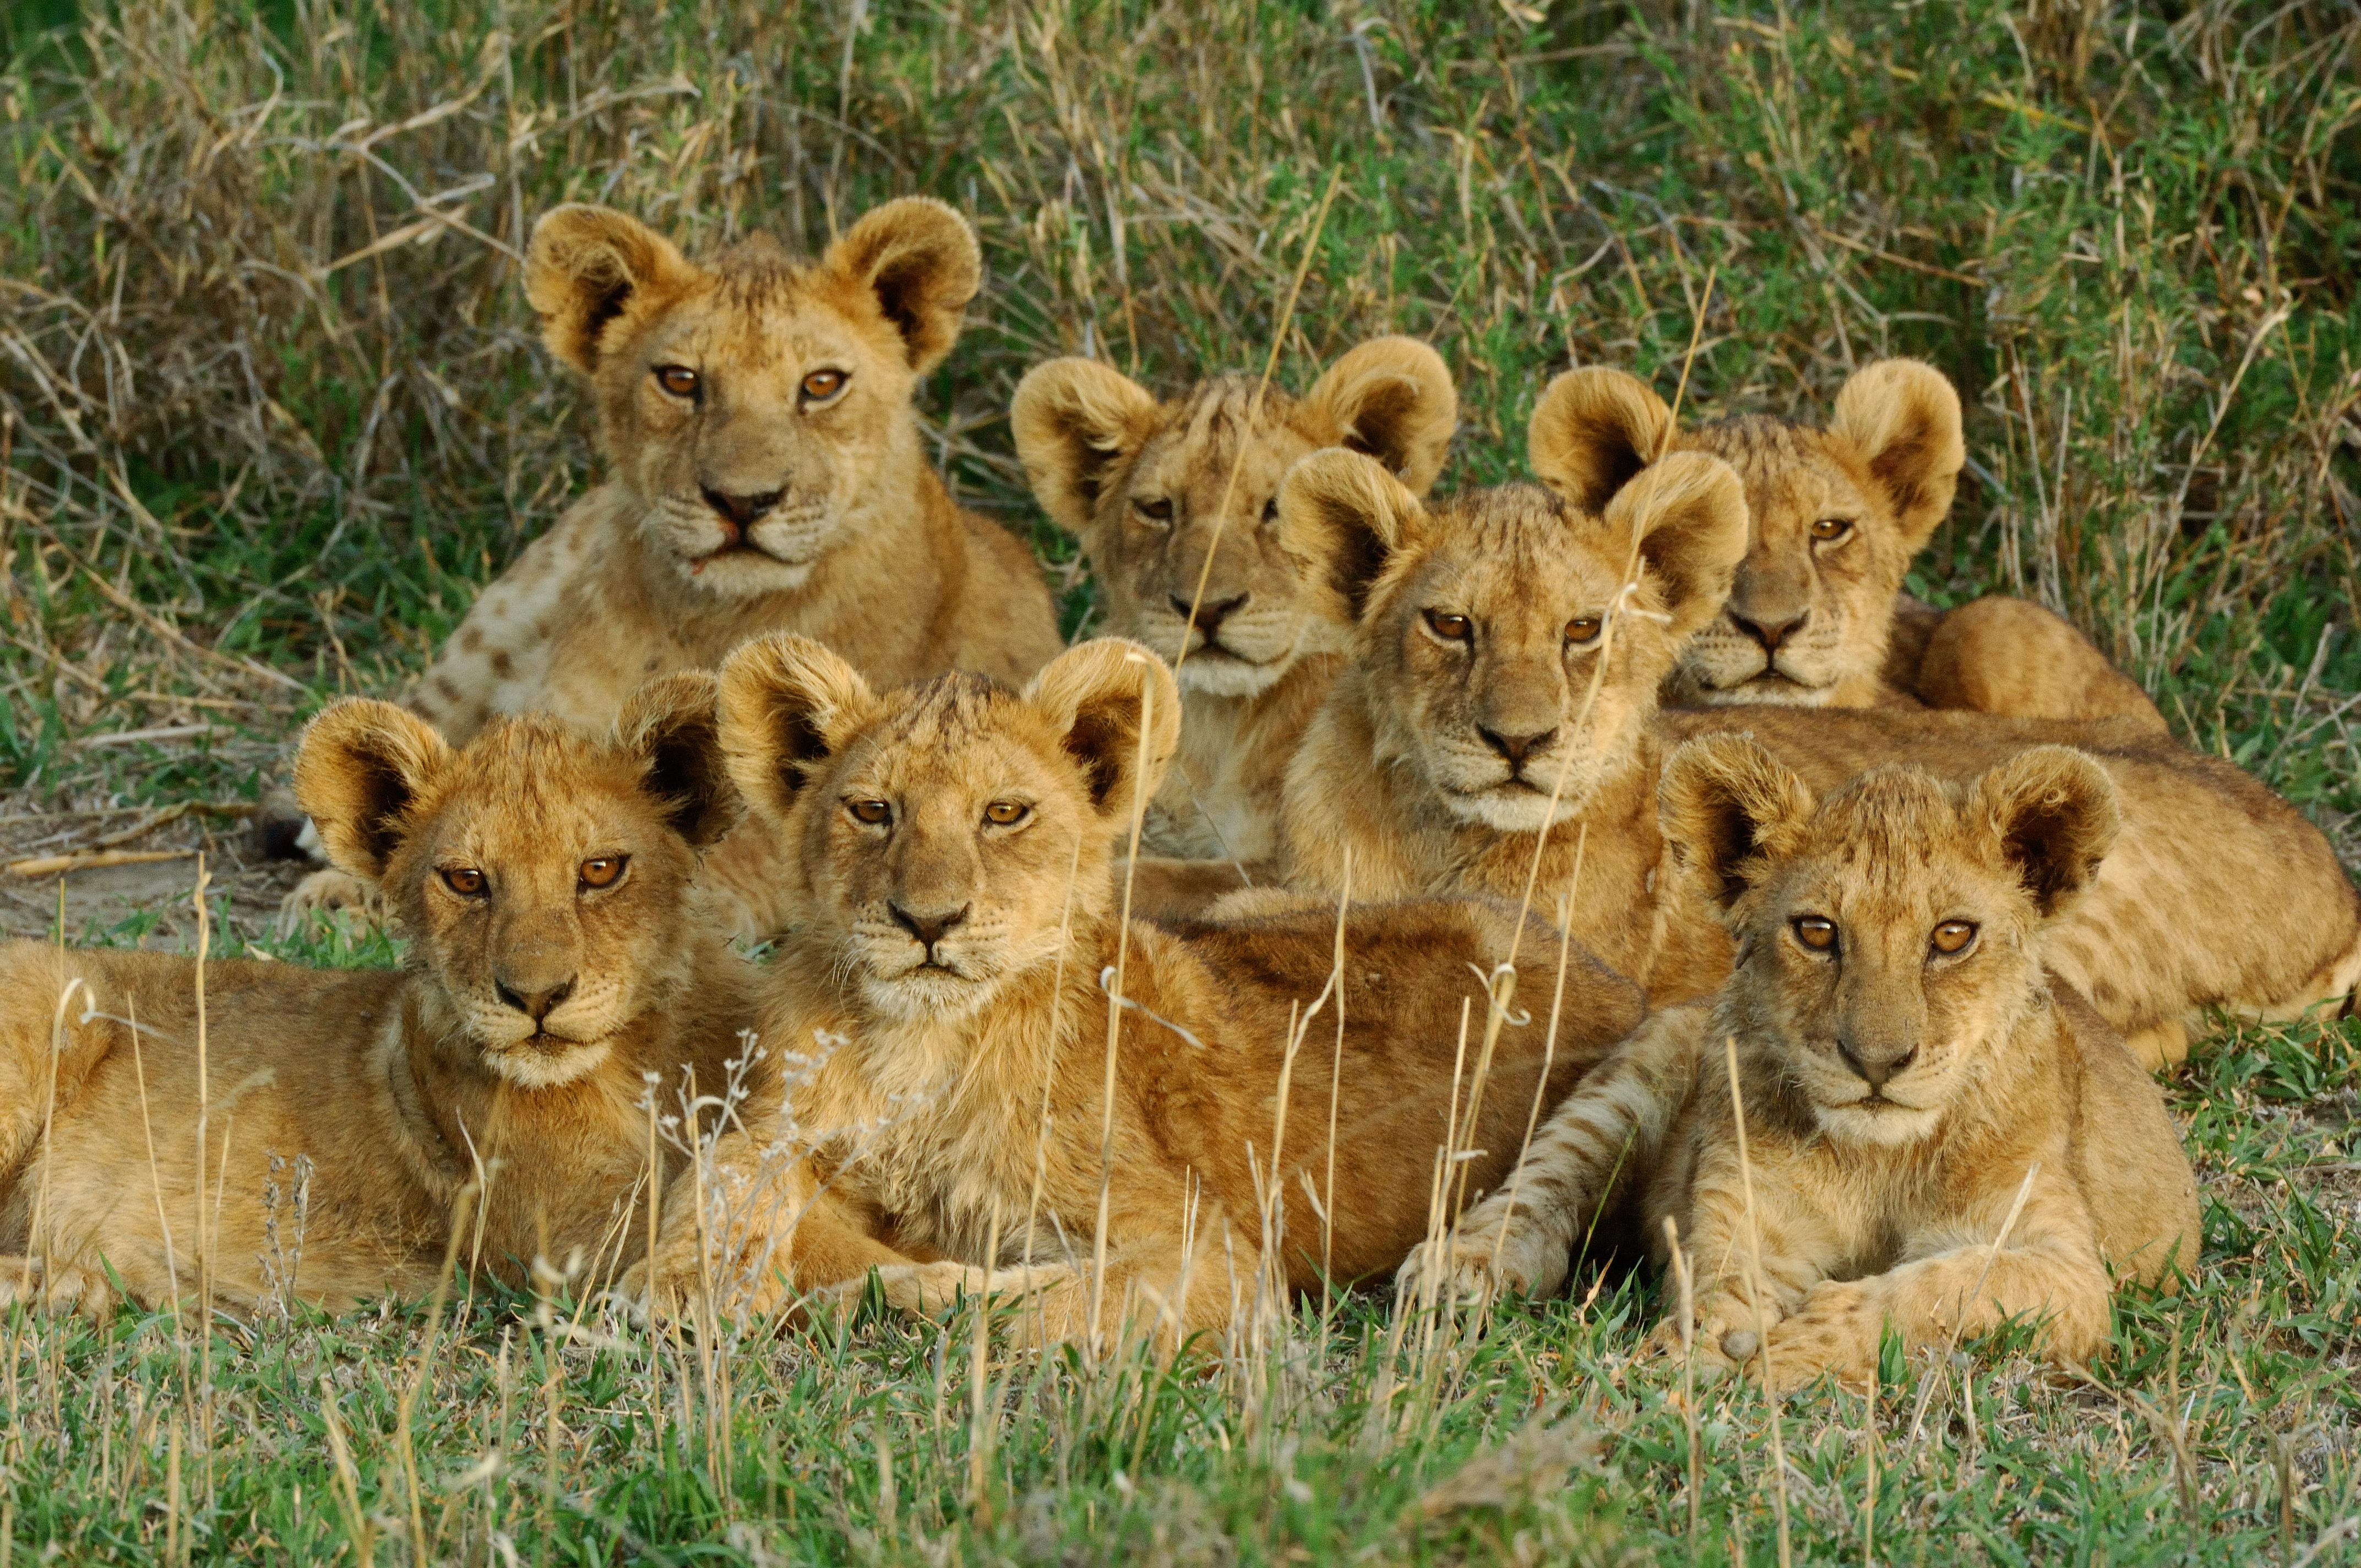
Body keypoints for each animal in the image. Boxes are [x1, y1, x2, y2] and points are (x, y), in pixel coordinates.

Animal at [0, 676, 781, 1315]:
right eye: (466, 880)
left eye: (600, 870)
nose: (536, 997)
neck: (646, 1053)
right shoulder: (578, 1236)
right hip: (46, 999)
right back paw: (74, 1286)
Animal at [632, 634, 1644, 1348]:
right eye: (872, 810)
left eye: (1004, 813)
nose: (928, 921)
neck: (926, 1046)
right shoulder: (783, 1122)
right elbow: (726, 1169)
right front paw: (680, 1287)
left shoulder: (1219, 1261)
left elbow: (1056, 1299)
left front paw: (899, 1292)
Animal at [1403, 738, 2201, 1391]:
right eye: (1817, 932)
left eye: (1951, 936)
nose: (1877, 1061)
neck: (1880, 1161)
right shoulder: (1749, 1217)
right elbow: (1723, 1283)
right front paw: (1700, 1351)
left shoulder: (2069, 1270)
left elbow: (1942, 1287)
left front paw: (1791, 1352)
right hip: (1643, 1069)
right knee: (1544, 1181)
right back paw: (1460, 1271)